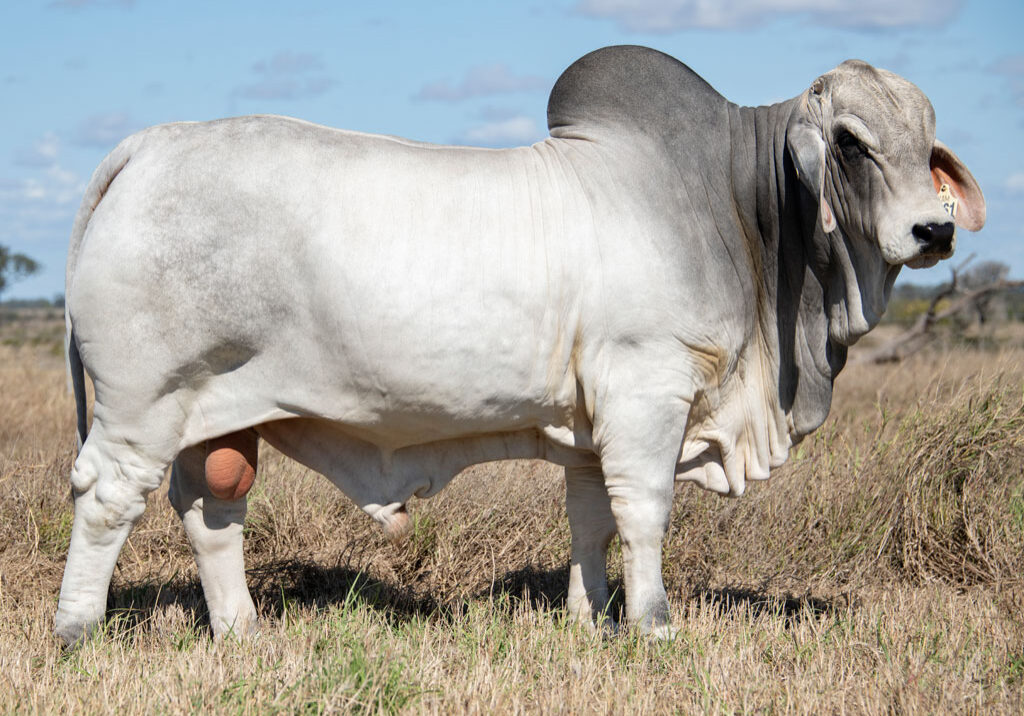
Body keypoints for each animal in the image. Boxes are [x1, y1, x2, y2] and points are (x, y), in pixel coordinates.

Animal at [55, 46, 985, 645]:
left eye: (926, 141)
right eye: (851, 142)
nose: (933, 230)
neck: (735, 208)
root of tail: (154, 143)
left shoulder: (592, 421)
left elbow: (591, 517)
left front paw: (589, 616)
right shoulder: (649, 390)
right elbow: (645, 510)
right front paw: (653, 626)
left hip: (207, 410)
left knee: (210, 511)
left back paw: (243, 632)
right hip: (141, 405)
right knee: (108, 499)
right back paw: (77, 629)